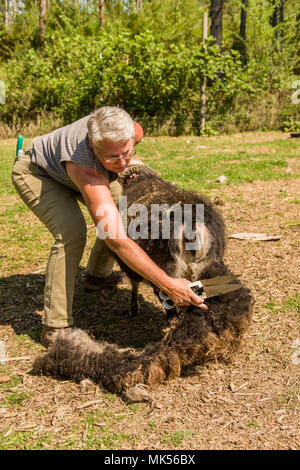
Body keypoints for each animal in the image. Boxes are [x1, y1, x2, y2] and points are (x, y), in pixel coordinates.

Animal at [32, 163, 253, 394]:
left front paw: (134, 308)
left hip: (166, 269)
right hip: (206, 267)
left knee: (169, 300)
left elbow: (135, 284)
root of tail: (192, 228)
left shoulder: (130, 265)